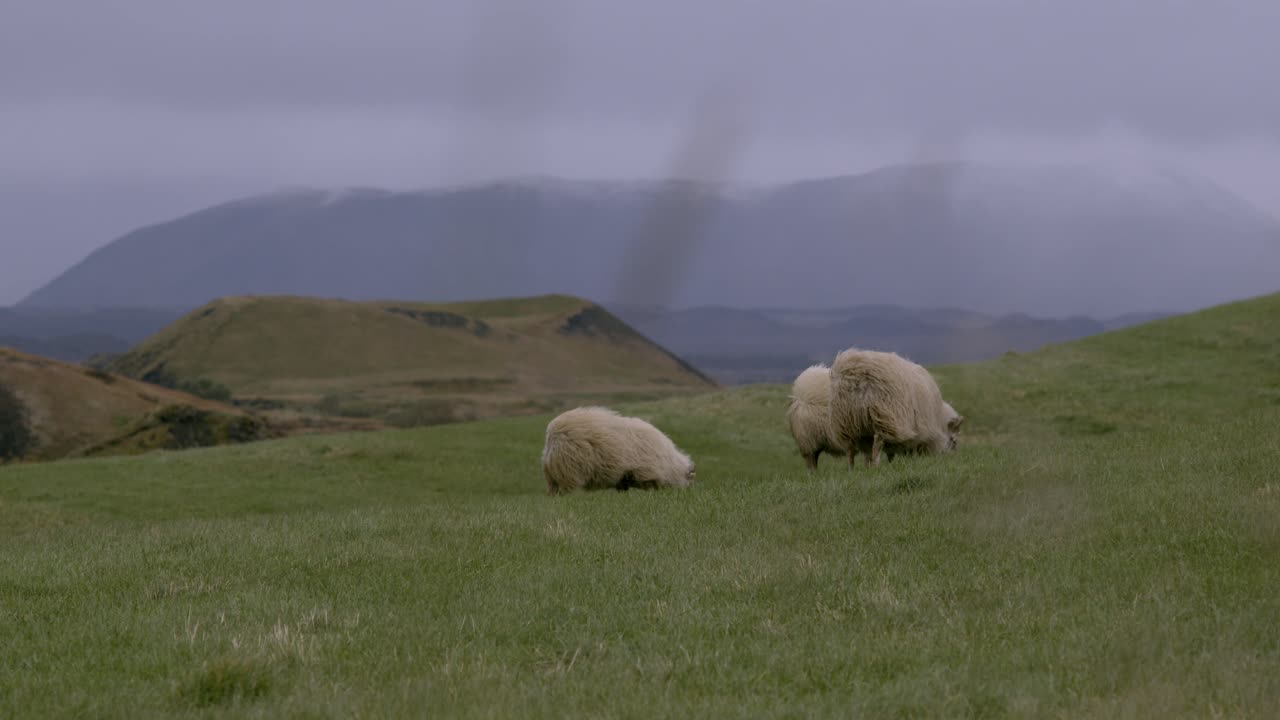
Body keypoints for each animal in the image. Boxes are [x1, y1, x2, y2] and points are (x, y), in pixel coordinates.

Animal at [541, 406, 696, 495]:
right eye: (690, 482)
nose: (687, 495)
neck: (670, 465)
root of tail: (552, 432)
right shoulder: (646, 472)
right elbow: (649, 488)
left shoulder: (624, 475)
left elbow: (622, 488)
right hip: (570, 471)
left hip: (553, 475)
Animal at [828, 348, 964, 467]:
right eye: (953, 440)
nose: (952, 458)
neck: (939, 420)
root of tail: (854, 374)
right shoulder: (917, 433)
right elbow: (907, 451)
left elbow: (884, 453)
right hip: (883, 416)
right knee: (877, 443)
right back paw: (875, 466)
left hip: (846, 422)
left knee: (850, 449)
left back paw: (851, 468)